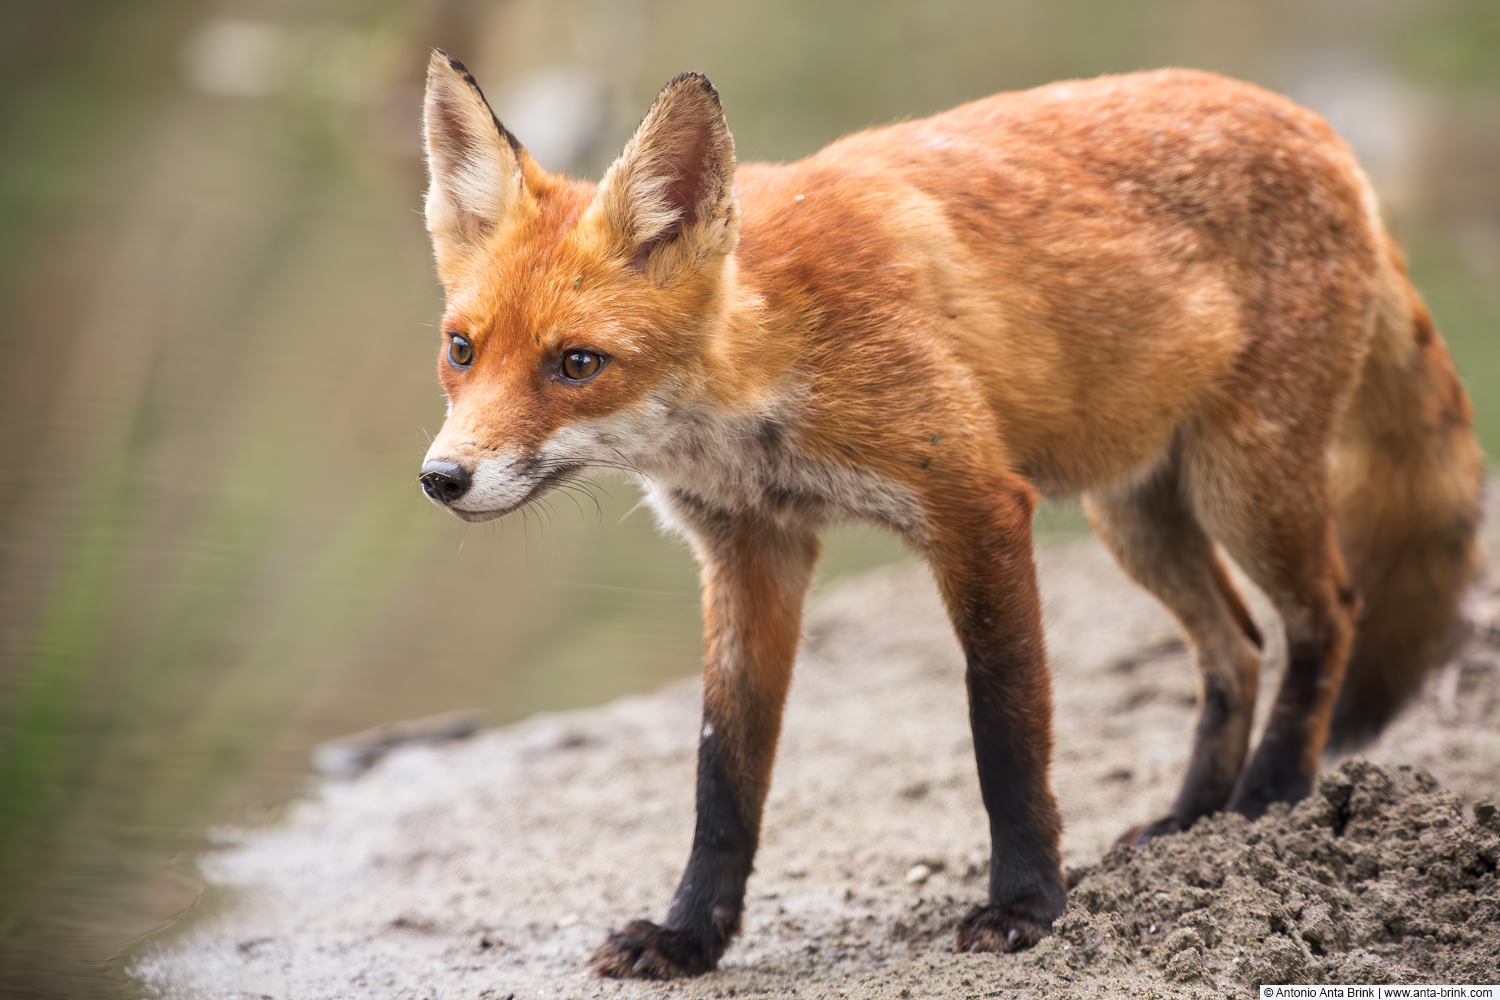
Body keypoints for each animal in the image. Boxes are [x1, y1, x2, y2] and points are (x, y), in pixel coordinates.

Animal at [414, 50, 1488, 983]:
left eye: (576, 364)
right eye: (462, 349)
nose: (441, 478)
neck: (770, 368)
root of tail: (1321, 131)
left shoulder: (976, 507)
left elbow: (1004, 728)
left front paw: (1025, 907)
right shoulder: (749, 549)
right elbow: (726, 770)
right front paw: (689, 938)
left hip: (1247, 486)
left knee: (1329, 614)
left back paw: (1272, 801)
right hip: (1136, 515)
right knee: (1237, 646)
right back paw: (1195, 822)